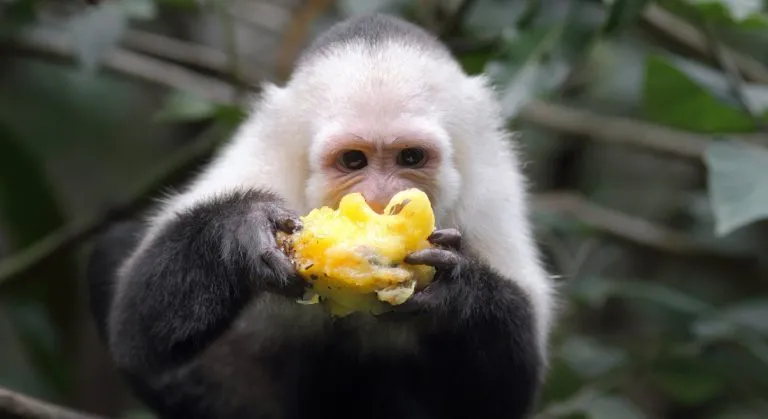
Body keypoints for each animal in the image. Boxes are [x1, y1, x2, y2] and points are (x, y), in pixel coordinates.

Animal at [87, 13, 557, 419]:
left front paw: (456, 290)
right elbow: (133, 329)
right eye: (353, 160)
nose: (379, 199)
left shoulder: (488, 191)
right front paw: (240, 231)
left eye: (410, 157)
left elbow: (507, 394)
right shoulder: (267, 163)